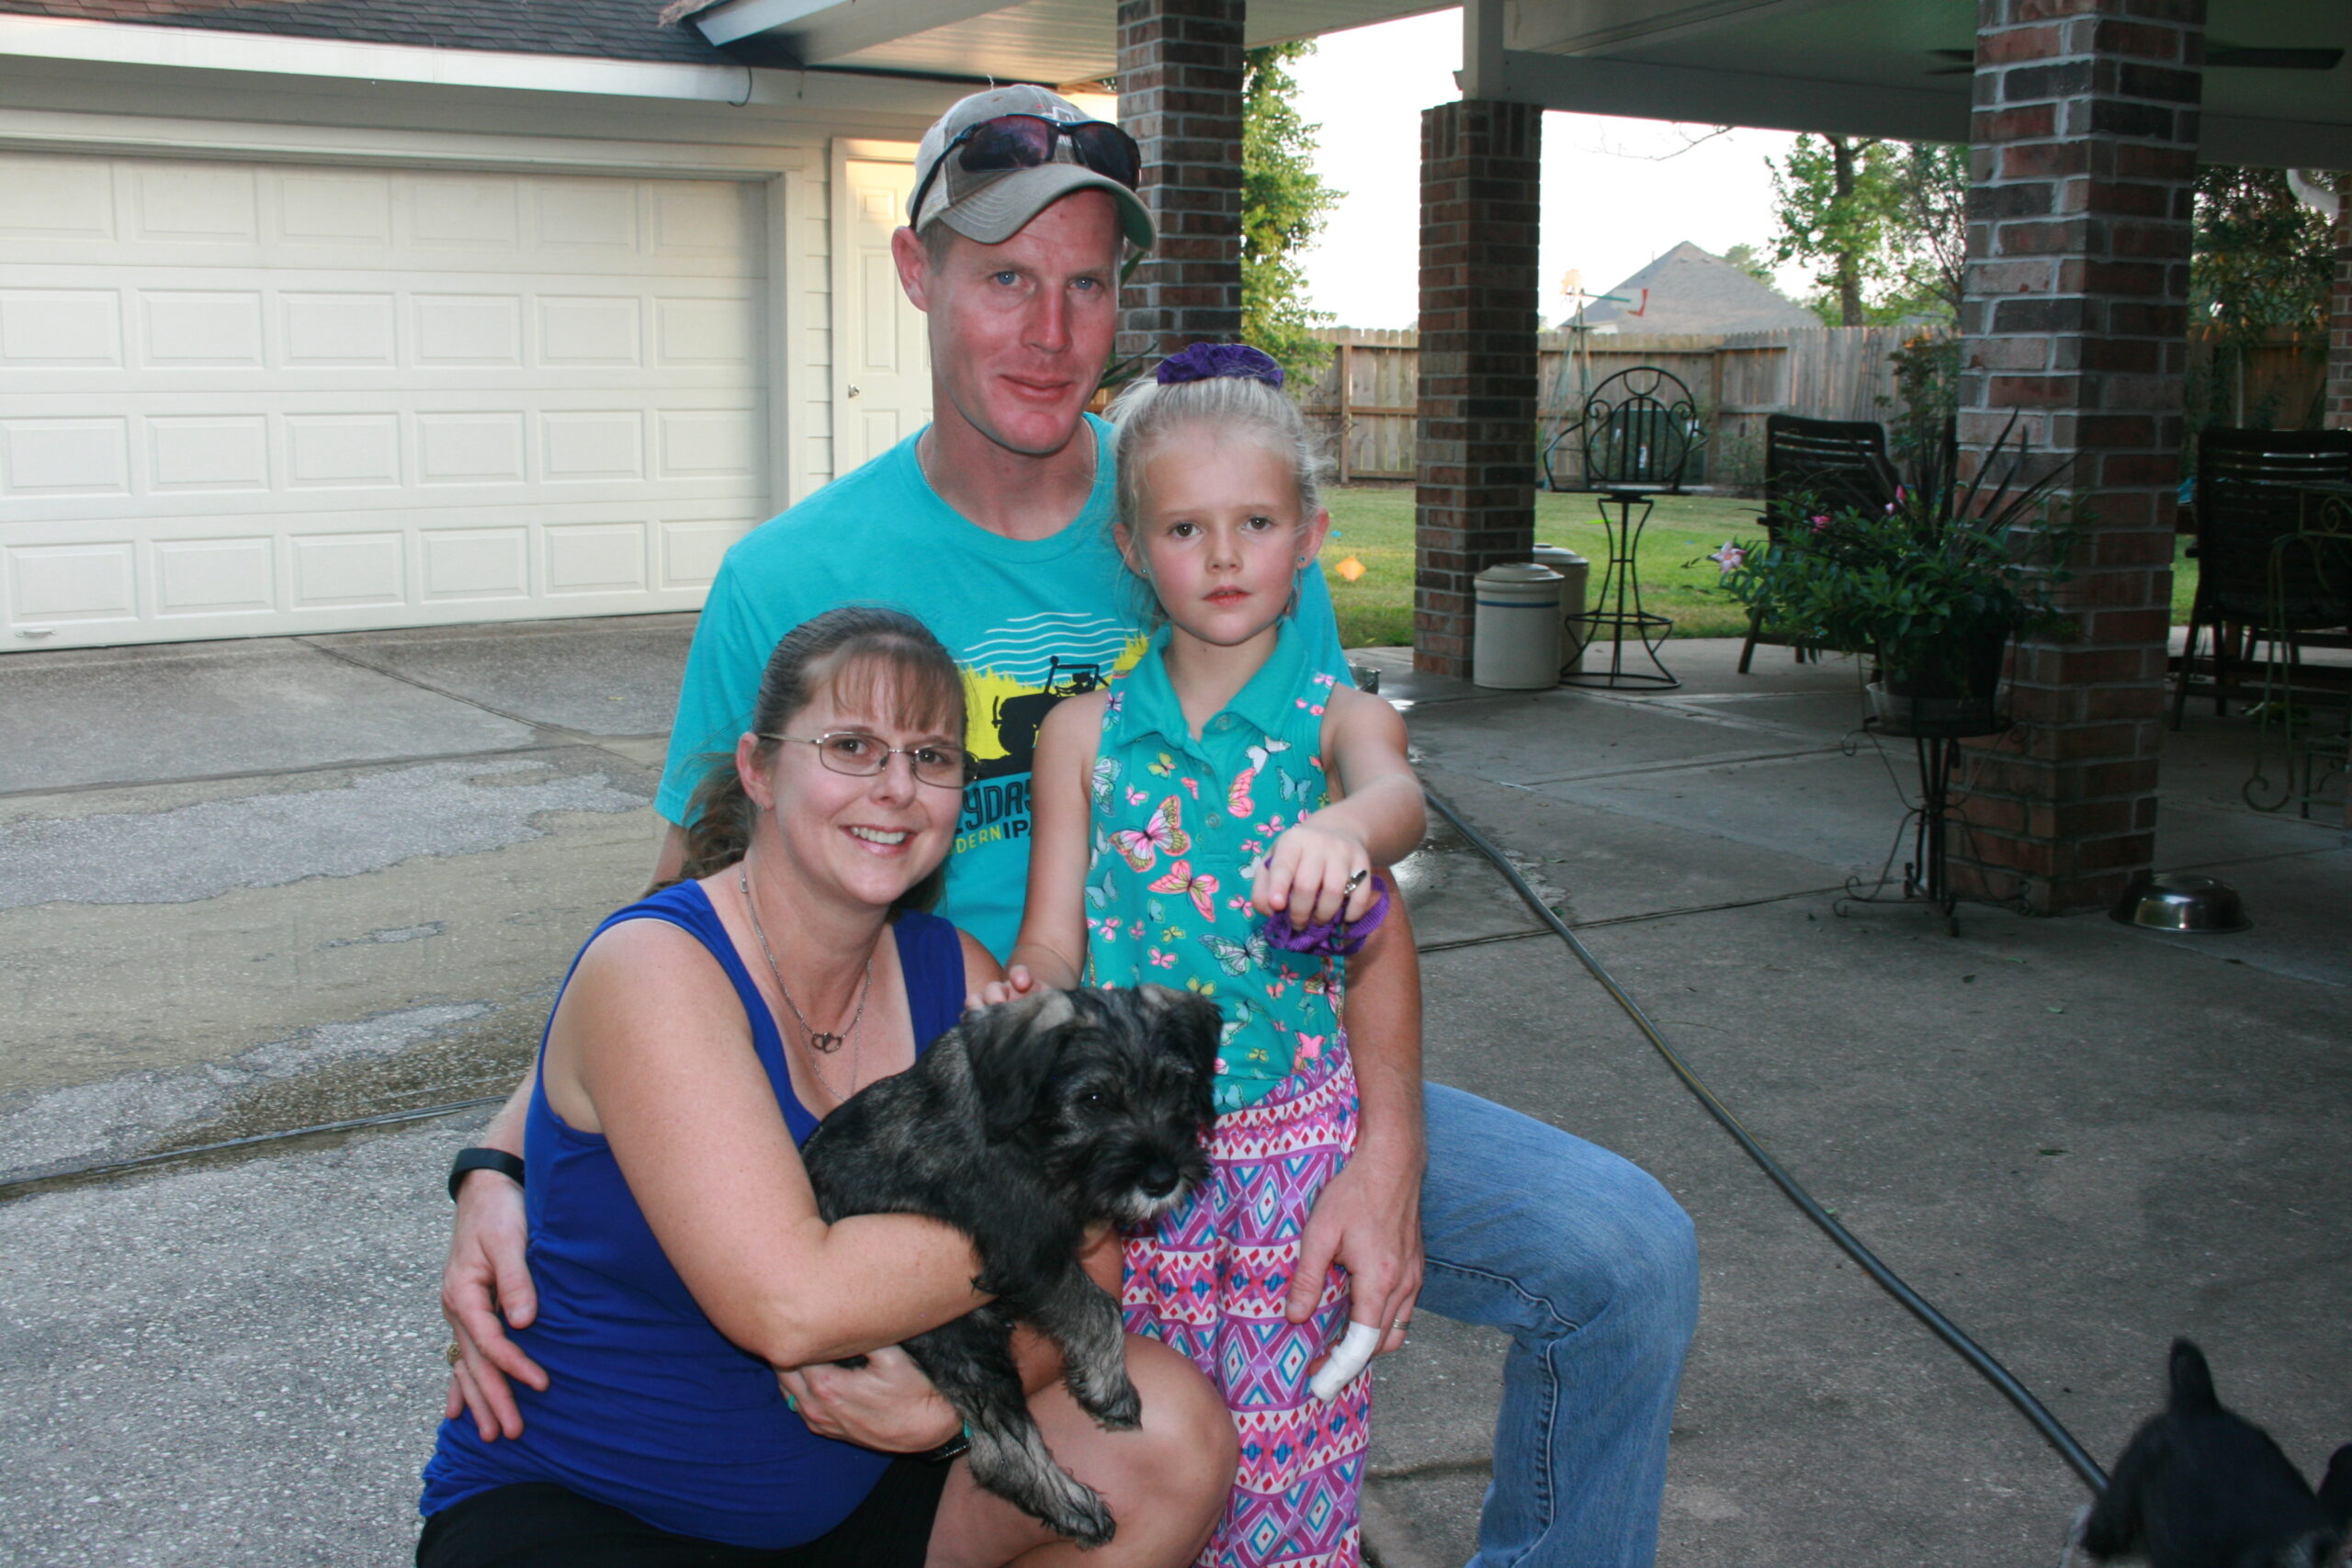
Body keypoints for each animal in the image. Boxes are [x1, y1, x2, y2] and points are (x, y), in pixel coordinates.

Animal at [799, 984, 1221, 1548]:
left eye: (1177, 1085)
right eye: (1092, 1100)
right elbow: (1098, 1308)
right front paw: (1108, 1384)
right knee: (997, 1449)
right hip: (957, 1338)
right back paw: (1073, 1506)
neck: (1029, 1127)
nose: (1161, 1179)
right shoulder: (1028, 1250)